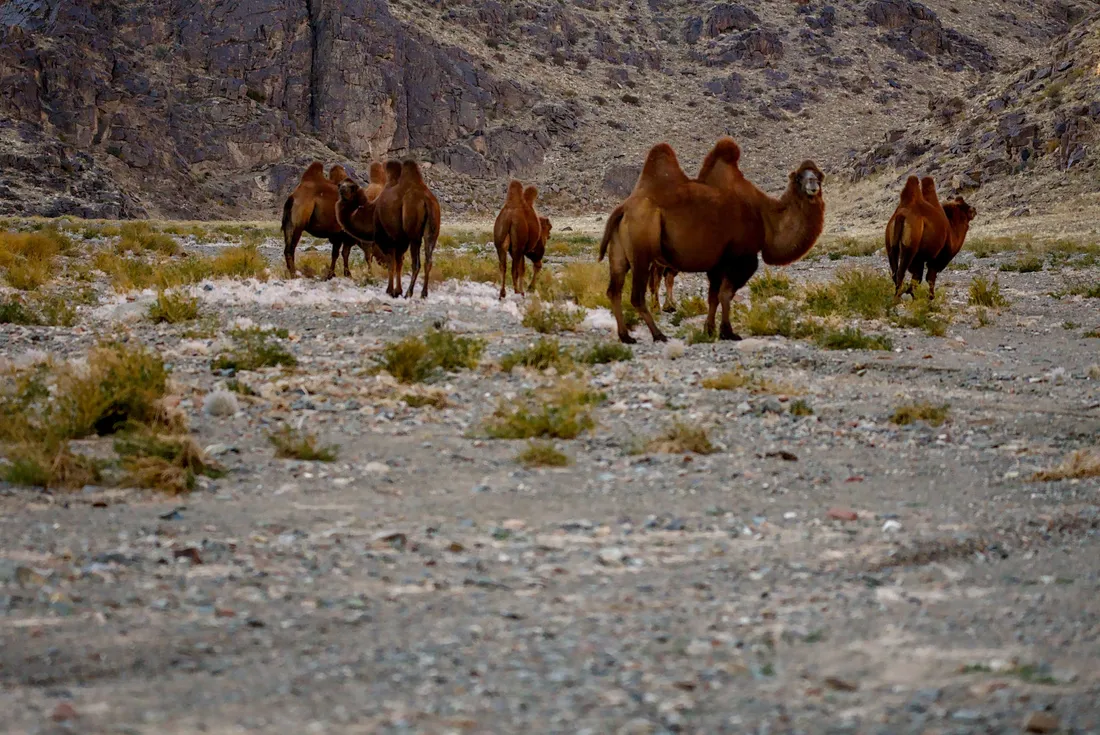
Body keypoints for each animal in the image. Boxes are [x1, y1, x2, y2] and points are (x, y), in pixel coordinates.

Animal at [598, 137, 825, 343]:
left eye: (818, 176)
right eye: (799, 178)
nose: (812, 184)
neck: (765, 216)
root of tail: (623, 209)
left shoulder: (717, 262)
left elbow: (713, 297)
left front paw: (709, 330)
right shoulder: (742, 258)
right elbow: (725, 294)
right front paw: (728, 332)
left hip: (619, 252)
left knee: (614, 291)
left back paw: (626, 336)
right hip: (642, 249)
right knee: (636, 295)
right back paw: (658, 334)